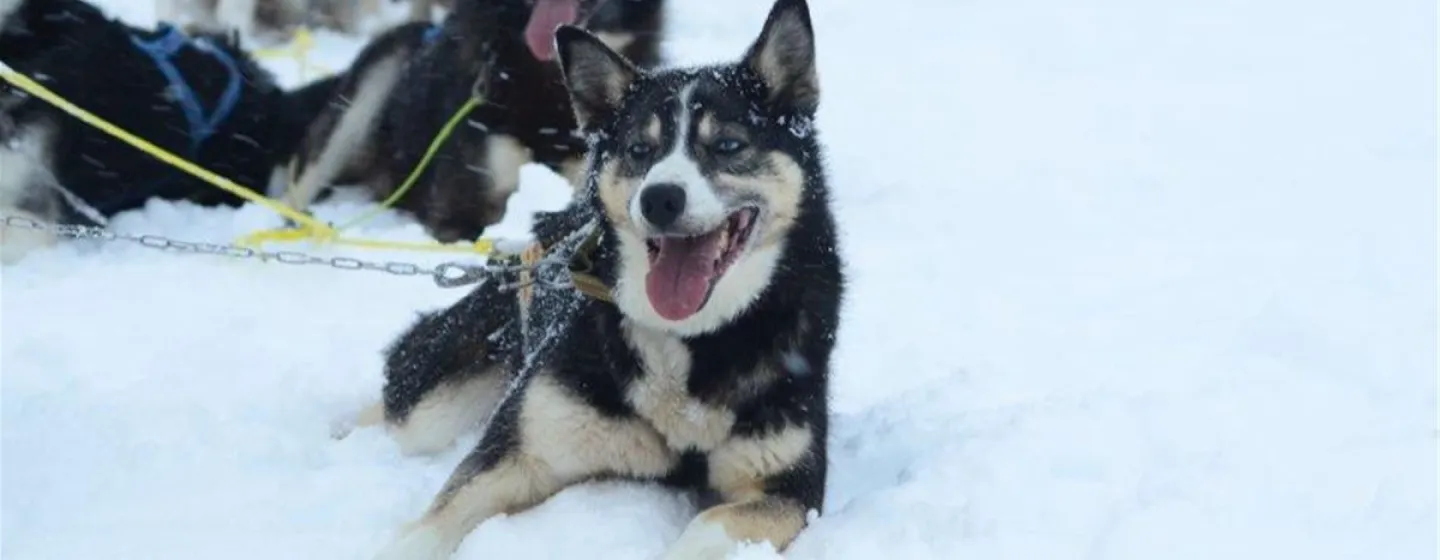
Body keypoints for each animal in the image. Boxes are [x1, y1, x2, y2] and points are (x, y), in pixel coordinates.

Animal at [338, 0, 840, 555]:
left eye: (728, 144)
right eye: (640, 150)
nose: (660, 199)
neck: (686, 342)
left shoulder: (787, 491)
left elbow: (711, 523)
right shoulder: (523, 451)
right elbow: (433, 521)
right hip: (436, 402)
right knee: (398, 404)